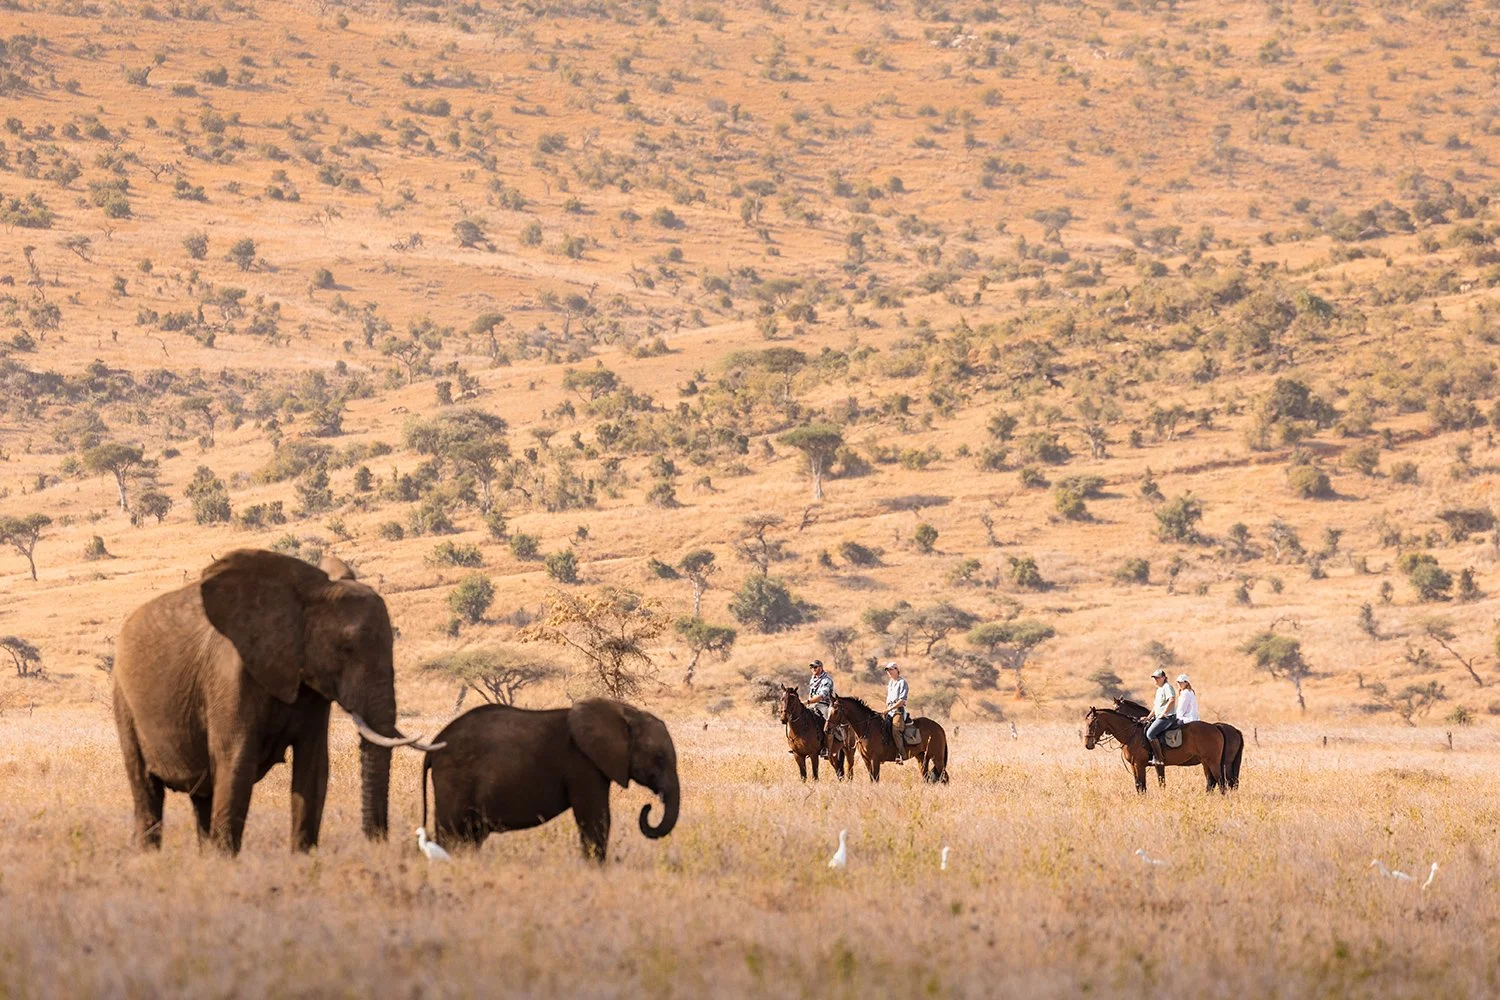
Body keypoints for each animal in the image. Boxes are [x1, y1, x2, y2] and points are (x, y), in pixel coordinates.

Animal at [111, 549, 440, 854]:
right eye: (346, 649)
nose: (377, 843)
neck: (309, 593)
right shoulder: (229, 674)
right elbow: (237, 763)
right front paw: (226, 866)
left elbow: (313, 767)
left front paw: (303, 863)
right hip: (123, 699)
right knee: (147, 792)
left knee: (202, 797)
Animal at [421, 698, 679, 862]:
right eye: (659, 758)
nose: (649, 806)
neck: (623, 712)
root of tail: (432, 748)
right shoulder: (582, 762)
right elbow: (595, 817)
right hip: (454, 778)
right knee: (452, 830)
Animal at [1084, 706, 1227, 794]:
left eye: (1092, 724)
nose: (1087, 744)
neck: (1131, 734)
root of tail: (1215, 727)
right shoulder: (1133, 766)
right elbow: (1138, 785)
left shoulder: (1139, 765)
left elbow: (1142, 786)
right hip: (1205, 762)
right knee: (1211, 782)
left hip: (1213, 762)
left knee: (1220, 782)